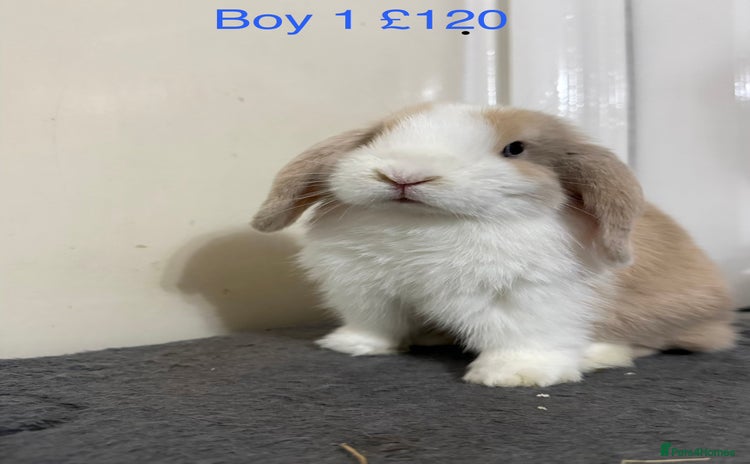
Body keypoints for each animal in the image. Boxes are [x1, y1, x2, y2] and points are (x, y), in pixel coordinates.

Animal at [251, 103, 736, 387]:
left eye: (515, 149)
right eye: (375, 137)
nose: (404, 175)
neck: (424, 225)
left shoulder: (526, 298)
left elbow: (524, 337)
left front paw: (513, 376)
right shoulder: (365, 293)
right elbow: (377, 326)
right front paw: (352, 346)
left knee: (658, 342)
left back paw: (600, 354)